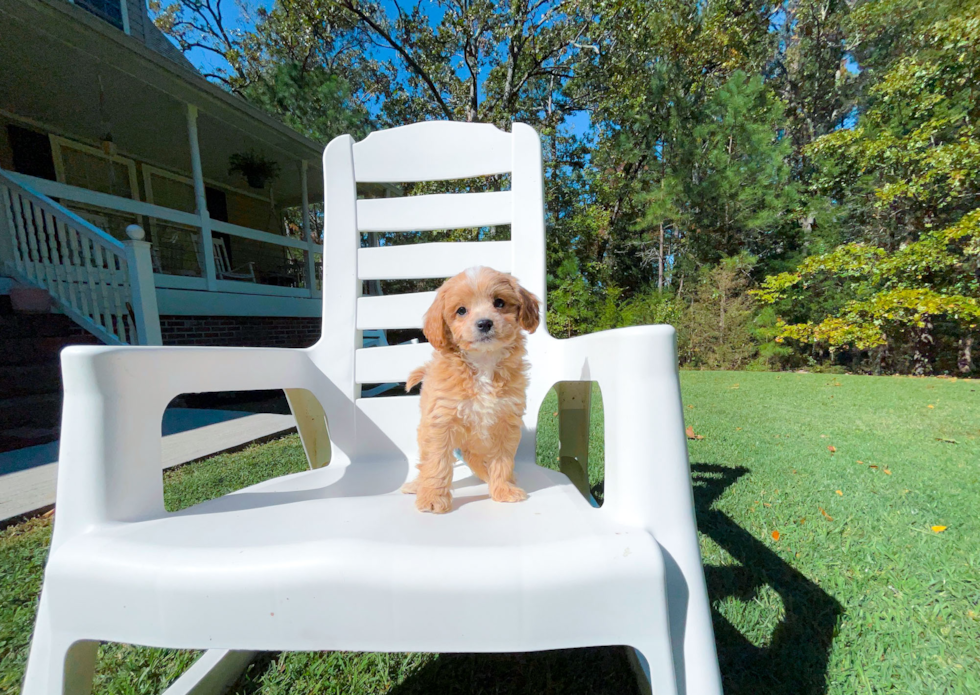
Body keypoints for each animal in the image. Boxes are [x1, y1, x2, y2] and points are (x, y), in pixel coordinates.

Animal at [400, 270, 544, 512]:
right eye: (461, 310)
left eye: (499, 302)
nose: (485, 323)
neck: (483, 362)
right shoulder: (441, 421)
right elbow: (436, 462)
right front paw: (432, 498)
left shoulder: (506, 421)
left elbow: (502, 459)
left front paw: (503, 489)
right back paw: (417, 485)